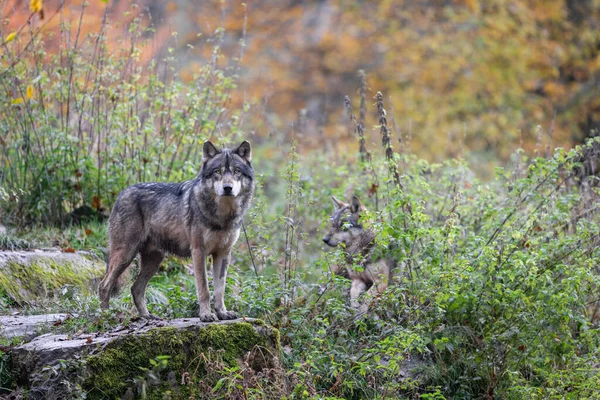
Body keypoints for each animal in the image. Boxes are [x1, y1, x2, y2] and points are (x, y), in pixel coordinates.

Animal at [99, 141, 254, 322]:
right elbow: (204, 289)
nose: (227, 188)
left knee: (135, 288)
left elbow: (220, 289)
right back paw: (105, 317)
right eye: (218, 172)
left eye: (236, 171)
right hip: (126, 255)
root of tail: (122, 193)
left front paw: (222, 313)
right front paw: (206, 315)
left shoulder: (223, 254)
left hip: (154, 260)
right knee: (104, 285)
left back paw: (147, 316)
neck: (222, 216)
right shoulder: (198, 252)